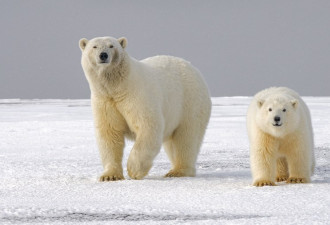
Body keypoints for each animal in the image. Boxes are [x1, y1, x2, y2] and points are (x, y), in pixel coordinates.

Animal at [78, 36, 210, 181]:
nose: (103, 55)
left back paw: (178, 171)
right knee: (173, 143)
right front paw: (109, 176)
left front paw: (134, 170)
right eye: (94, 46)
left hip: (190, 102)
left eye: (111, 46)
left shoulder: (136, 95)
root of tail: (193, 68)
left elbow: (148, 126)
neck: (118, 87)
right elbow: (110, 134)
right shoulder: (105, 101)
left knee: (186, 137)